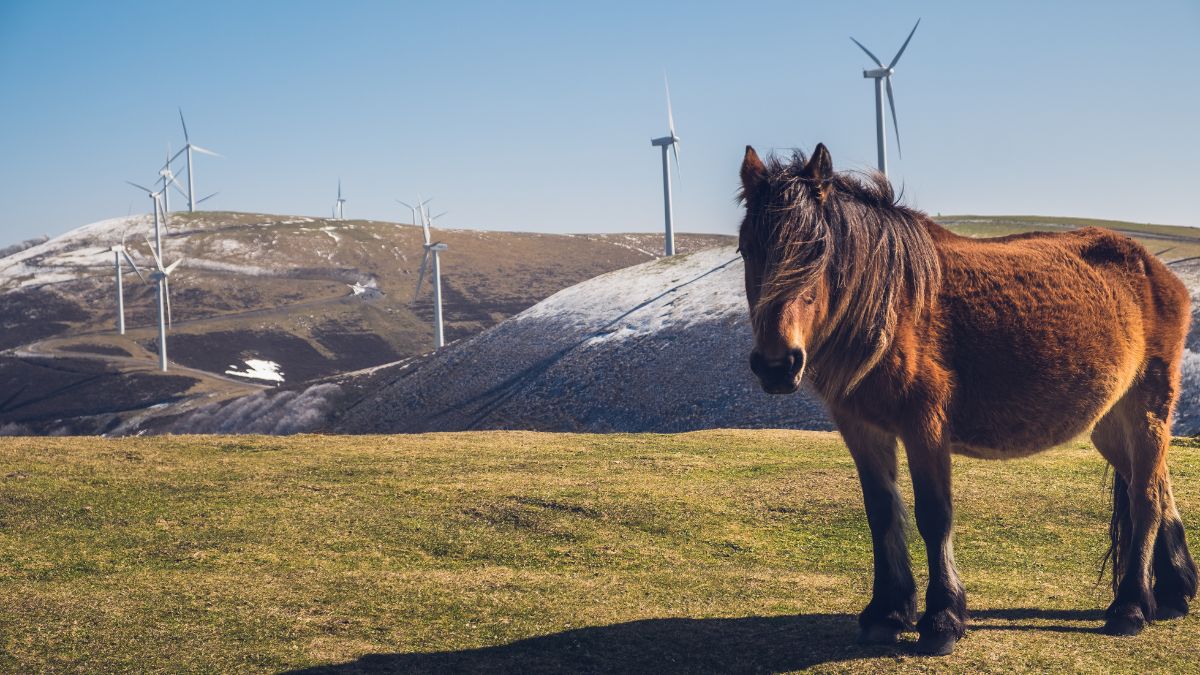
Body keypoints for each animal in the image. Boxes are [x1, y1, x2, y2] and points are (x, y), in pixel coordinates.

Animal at [734, 144, 1195, 653]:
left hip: (1146, 408)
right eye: (746, 248)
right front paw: (887, 611)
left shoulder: (925, 426)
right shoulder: (862, 429)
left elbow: (934, 516)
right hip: (1110, 424)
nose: (777, 364)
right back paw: (1173, 592)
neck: (894, 304)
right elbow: (881, 513)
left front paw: (942, 619)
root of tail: (1156, 271)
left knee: (1145, 498)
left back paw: (1131, 606)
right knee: (1155, 486)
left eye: (818, 250)